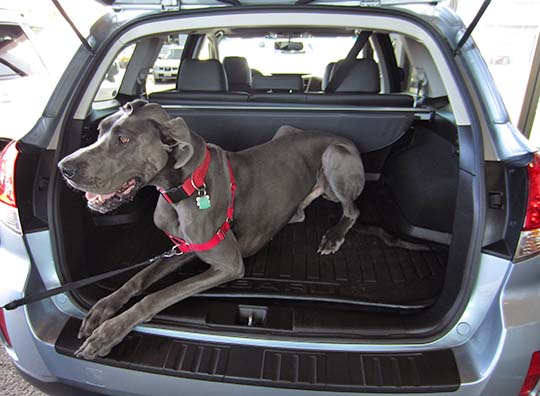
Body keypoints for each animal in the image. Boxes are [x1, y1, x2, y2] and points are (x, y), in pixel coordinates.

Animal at [59, 99, 364, 358]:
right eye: (99, 131)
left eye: (124, 139)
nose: (64, 168)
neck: (186, 187)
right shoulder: (184, 247)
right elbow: (139, 278)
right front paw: (104, 307)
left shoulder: (229, 264)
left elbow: (157, 296)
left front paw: (109, 332)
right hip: (284, 131)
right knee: (301, 212)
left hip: (334, 155)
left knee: (352, 210)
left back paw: (333, 236)